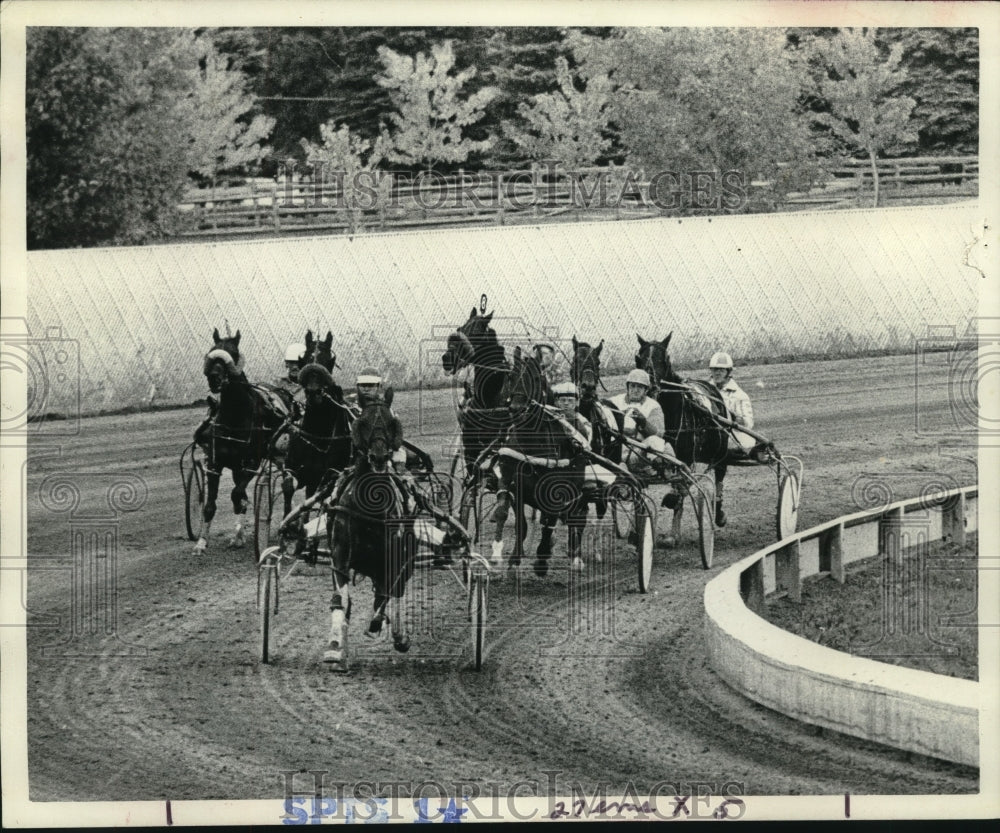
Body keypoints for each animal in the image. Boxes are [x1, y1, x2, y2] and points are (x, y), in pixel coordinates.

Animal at [194, 326, 290, 552]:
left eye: (234, 354)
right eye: (211, 352)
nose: (214, 378)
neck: (235, 417)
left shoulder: (251, 463)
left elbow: (237, 495)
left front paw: (240, 523)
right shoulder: (216, 463)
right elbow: (210, 505)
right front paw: (202, 542)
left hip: (282, 455)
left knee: (288, 486)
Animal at [326, 398, 416, 668]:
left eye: (391, 421)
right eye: (362, 421)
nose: (378, 456)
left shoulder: (393, 556)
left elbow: (387, 594)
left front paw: (379, 626)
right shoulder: (339, 553)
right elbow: (341, 599)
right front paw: (335, 647)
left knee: (395, 591)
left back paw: (397, 633)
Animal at [494, 348, 588, 576]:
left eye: (536, 379)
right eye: (511, 376)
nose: (517, 408)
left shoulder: (556, 489)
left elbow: (550, 522)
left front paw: (542, 560)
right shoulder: (512, 478)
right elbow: (513, 518)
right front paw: (507, 558)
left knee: (577, 518)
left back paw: (575, 557)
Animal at [636, 332, 732, 544]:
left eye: (663, 358)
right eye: (639, 357)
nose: (649, 385)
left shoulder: (686, 458)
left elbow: (679, 491)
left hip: (720, 449)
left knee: (719, 474)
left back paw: (718, 513)